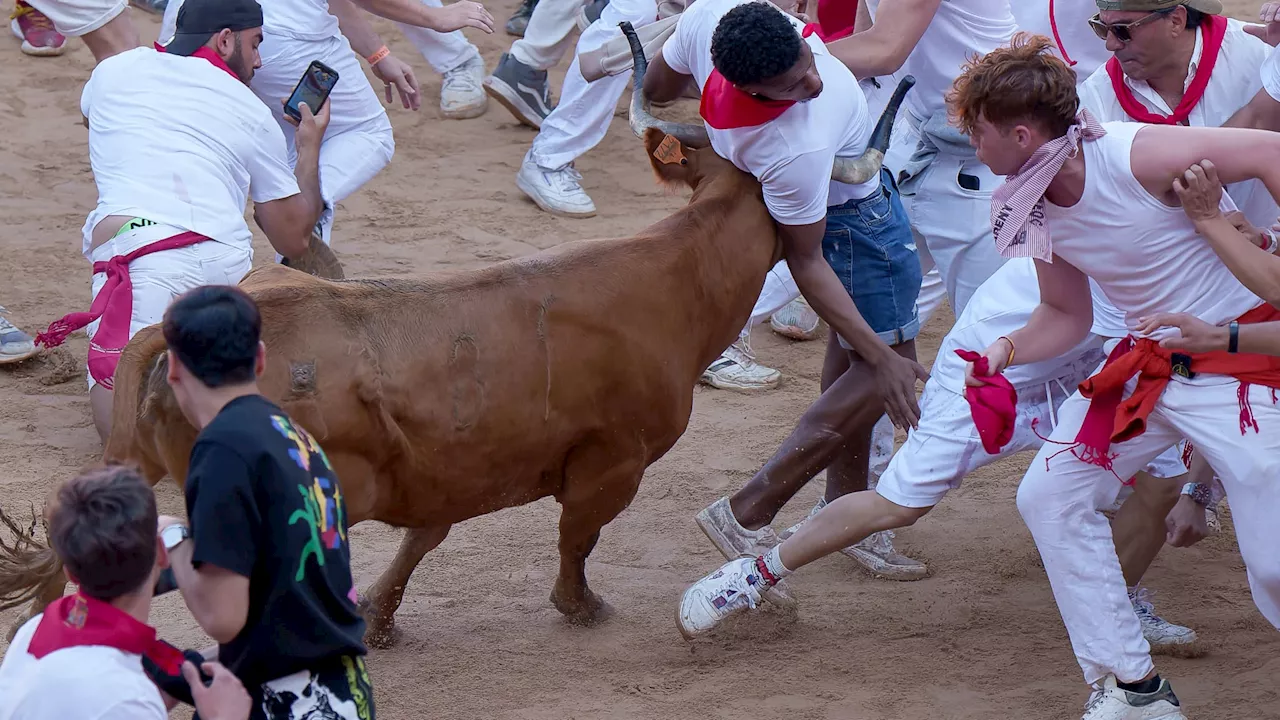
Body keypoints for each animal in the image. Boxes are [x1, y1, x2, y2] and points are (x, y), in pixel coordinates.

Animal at [2, 25, 911, 640]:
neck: (674, 277)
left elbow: (422, 540)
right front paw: (581, 607)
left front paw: (379, 620)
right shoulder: (612, 463)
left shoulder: (448, 471)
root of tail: (176, 330)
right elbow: (577, 539)